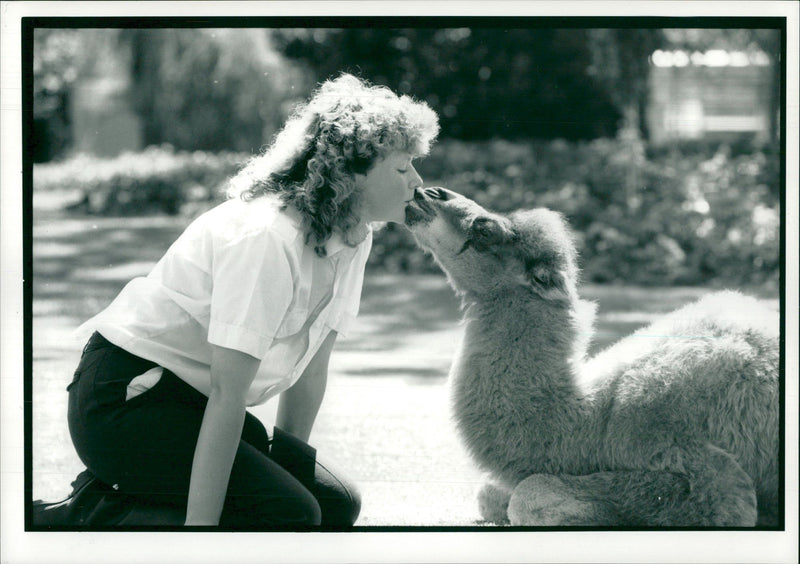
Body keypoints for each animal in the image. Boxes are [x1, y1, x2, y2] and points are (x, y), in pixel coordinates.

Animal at [404, 187, 780, 528]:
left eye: (485, 232)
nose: (428, 193)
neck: (591, 422)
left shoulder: (704, 471)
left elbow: (529, 496)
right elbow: (489, 494)